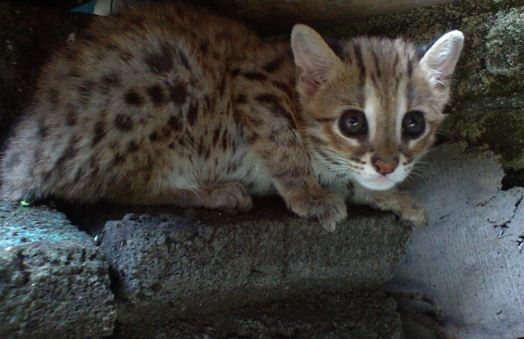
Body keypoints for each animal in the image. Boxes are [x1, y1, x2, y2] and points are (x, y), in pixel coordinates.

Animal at [1, 1, 462, 231]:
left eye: (413, 124)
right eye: (352, 122)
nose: (386, 166)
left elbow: (354, 180)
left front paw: (389, 196)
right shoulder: (252, 86)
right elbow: (283, 147)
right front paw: (309, 196)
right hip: (168, 74)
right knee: (115, 187)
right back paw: (210, 192)